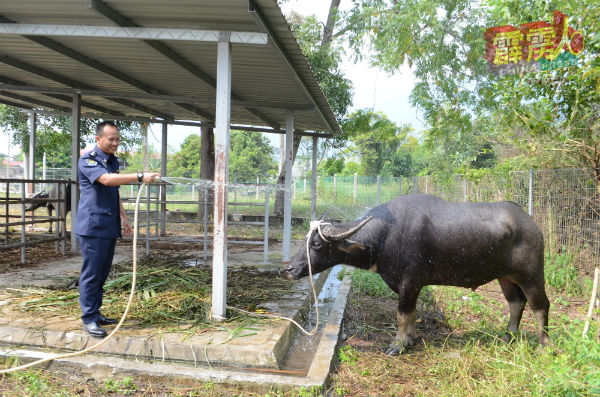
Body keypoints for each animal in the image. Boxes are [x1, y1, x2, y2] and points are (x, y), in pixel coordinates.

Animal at [288, 193, 552, 354]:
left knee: (540, 305)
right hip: (505, 277)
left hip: (532, 275)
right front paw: (410, 339)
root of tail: (532, 224)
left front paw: (397, 345)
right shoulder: (410, 286)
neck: (386, 236)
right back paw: (508, 338)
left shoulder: (410, 282)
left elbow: (402, 314)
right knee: (516, 302)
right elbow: (412, 313)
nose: (288, 268)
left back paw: (543, 345)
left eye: (317, 244)